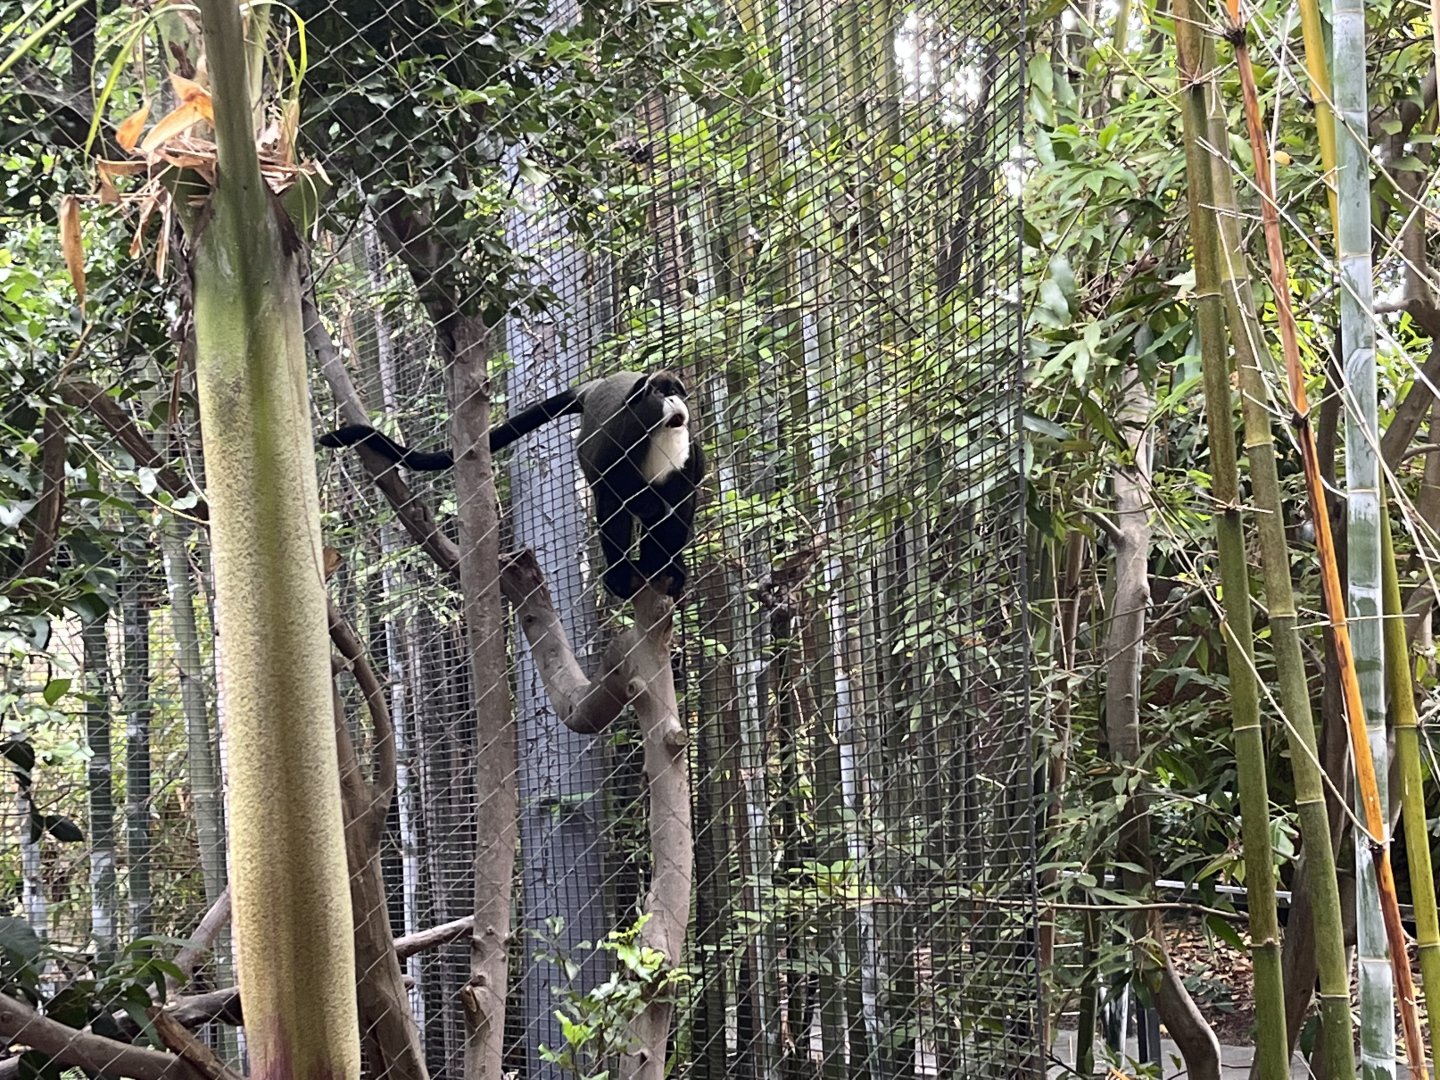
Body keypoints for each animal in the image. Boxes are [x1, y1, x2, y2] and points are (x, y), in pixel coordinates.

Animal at [318, 369, 705, 600]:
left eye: (676, 391)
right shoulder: (613, 444)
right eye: (659, 393)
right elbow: (613, 497)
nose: (675, 400)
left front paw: (667, 565)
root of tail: (595, 385)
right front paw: (631, 559)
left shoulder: (690, 462)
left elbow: (681, 505)